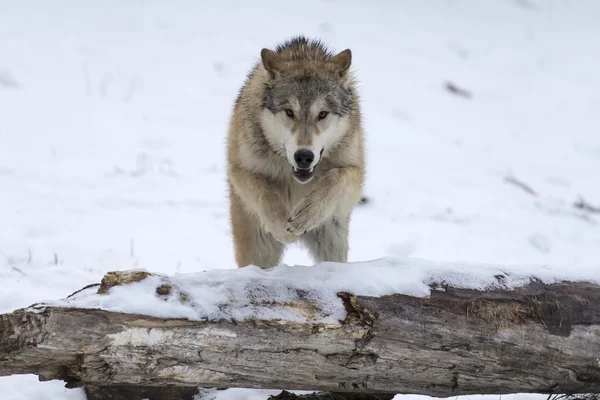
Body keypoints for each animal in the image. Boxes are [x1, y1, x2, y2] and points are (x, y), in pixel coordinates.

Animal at [226, 36, 364, 268]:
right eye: (289, 112)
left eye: (322, 114)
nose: (304, 156)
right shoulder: (241, 170)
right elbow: (265, 194)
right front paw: (282, 227)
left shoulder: (355, 171)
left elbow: (336, 178)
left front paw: (306, 214)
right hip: (258, 251)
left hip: (333, 243)